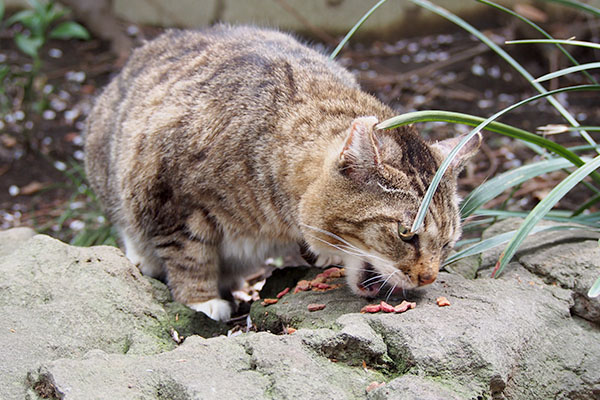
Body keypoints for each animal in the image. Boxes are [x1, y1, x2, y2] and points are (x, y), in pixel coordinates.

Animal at [84, 25, 480, 322]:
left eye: (447, 243)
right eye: (405, 234)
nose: (428, 277)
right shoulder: (170, 201)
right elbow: (189, 255)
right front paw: (201, 299)